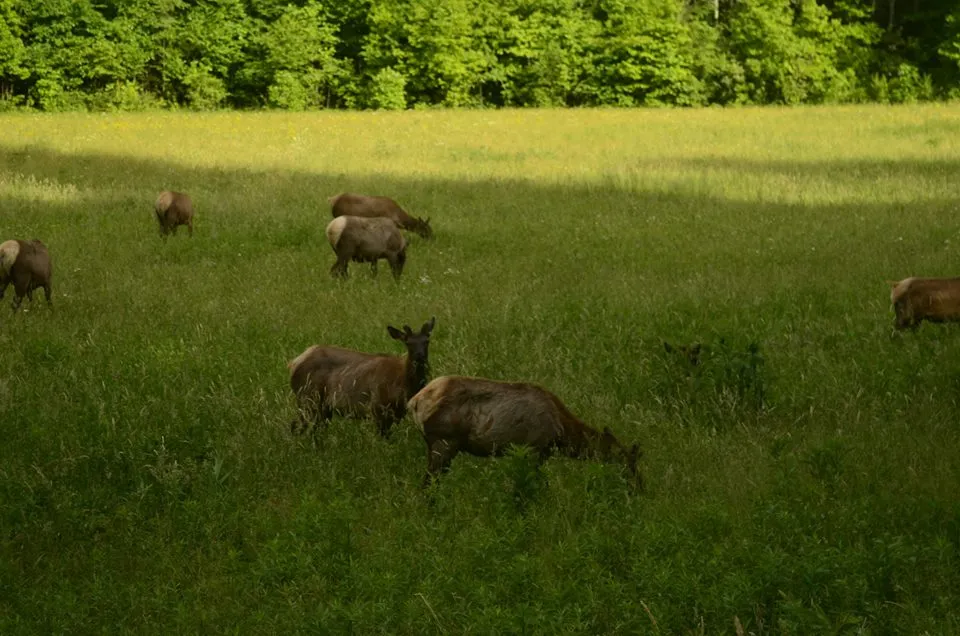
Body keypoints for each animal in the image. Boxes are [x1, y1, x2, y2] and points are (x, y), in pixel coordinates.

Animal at [284, 316, 436, 438]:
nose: (420, 356)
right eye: (408, 343)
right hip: (308, 398)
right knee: (295, 426)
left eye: (427, 341)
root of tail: (293, 363)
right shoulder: (376, 408)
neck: (403, 385)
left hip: (321, 407)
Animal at [404, 376, 644, 490]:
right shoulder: (535, 447)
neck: (563, 433)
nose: (640, 489)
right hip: (444, 443)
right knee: (427, 484)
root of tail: (413, 402)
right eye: (628, 467)